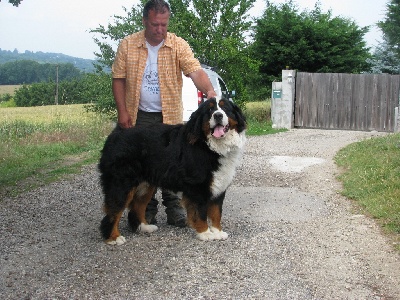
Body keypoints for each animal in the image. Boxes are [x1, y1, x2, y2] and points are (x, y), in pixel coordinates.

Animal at [98, 97, 245, 245]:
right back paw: (113, 237)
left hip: (145, 185)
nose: (218, 115)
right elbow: (200, 212)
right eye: (210, 110)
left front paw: (218, 232)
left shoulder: (219, 184)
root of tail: (115, 134)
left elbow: (216, 212)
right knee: (113, 211)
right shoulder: (198, 187)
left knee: (137, 206)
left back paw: (144, 227)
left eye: (225, 108)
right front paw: (205, 233)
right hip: (121, 184)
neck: (209, 145)